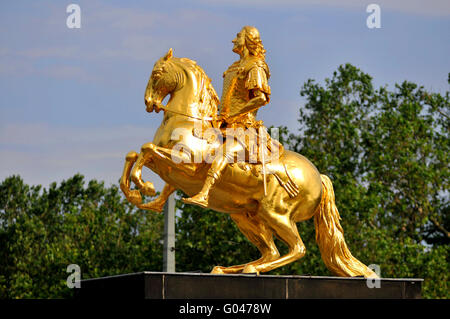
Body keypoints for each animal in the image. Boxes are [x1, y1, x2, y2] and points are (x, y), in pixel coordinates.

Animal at [118, 49, 376, 278]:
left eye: (157, 73)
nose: (148, 102)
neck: (189, 123)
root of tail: (318, 177)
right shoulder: (171, 170)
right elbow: (134, 155)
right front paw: (139, 196)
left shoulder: (187, 165)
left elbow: (146, 150)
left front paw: (144, 187)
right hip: (246, 216)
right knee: (272, 252)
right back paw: (227, 269)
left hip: (275, 213)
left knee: (297, 249)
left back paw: (249, 268)